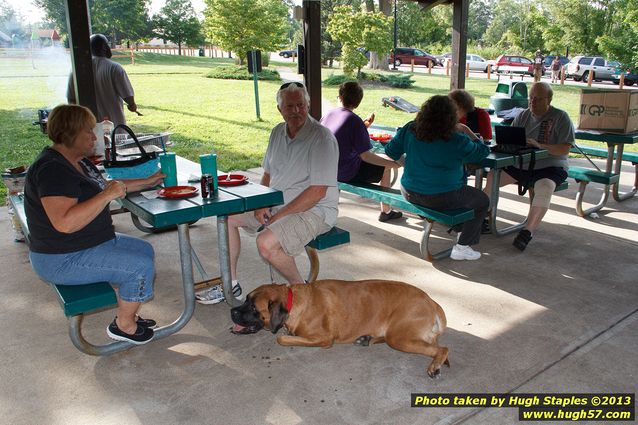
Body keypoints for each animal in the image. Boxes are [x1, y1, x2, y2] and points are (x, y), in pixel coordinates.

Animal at [230, 280, 450, 376]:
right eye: (246, 299)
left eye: (253, 307)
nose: (232, 310)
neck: (293, 301)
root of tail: (431, 301)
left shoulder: (324, 338)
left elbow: (281, 338)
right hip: (397, 334)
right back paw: (367, 339)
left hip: (399, 337)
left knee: (442, 348)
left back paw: (435, 365)